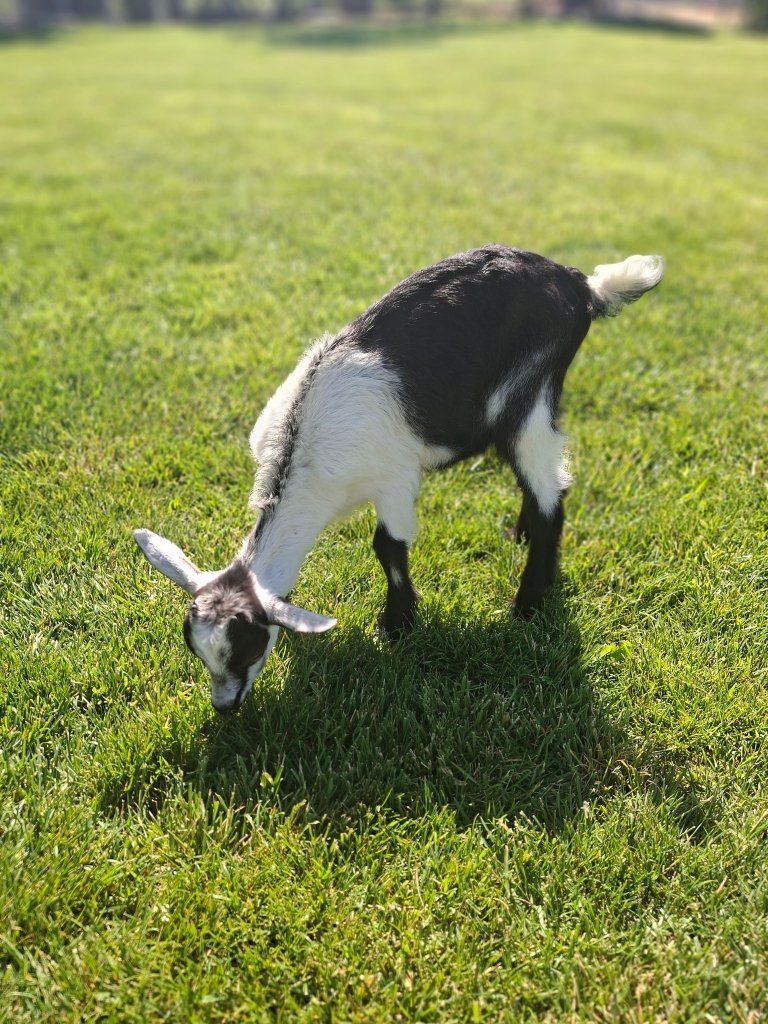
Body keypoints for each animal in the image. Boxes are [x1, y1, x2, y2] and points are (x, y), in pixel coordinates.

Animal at [134, 245, 664, 712]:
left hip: (530, 396)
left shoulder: (395, 478)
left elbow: (387, 546)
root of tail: (580, 285)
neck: (305, 461)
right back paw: (521, 534)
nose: (225, 707)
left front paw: (396, 625)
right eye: (196, 648)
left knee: (550, 491)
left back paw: (528, 604)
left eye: (247, 648)